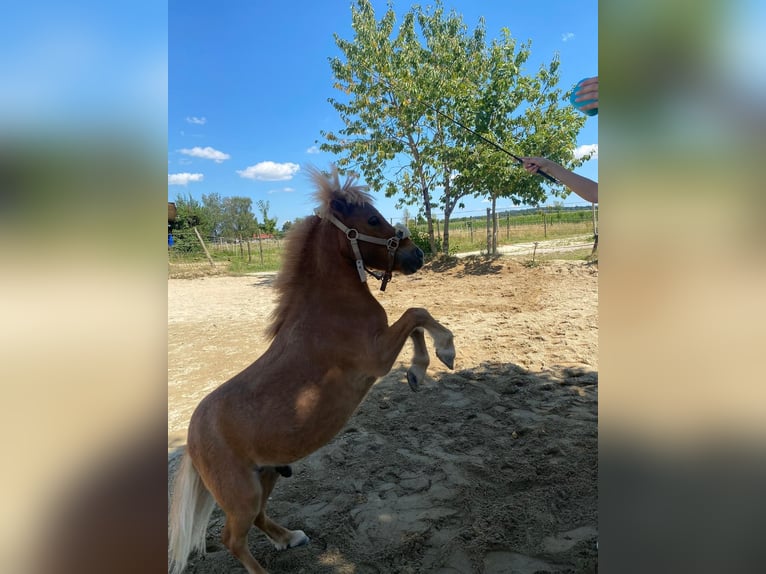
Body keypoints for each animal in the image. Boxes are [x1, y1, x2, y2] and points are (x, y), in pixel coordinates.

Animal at [168, 164, 456, 572]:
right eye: (373, 219)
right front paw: (444, 351)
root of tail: (191, 442)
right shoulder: (376, 357)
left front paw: (418, 373)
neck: (330, 308)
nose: (416, 254)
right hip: (243, 494)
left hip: (267, 477)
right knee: (232, 539)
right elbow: (418, 314)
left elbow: (416, 321)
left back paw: (290, 538)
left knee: (258, 519)